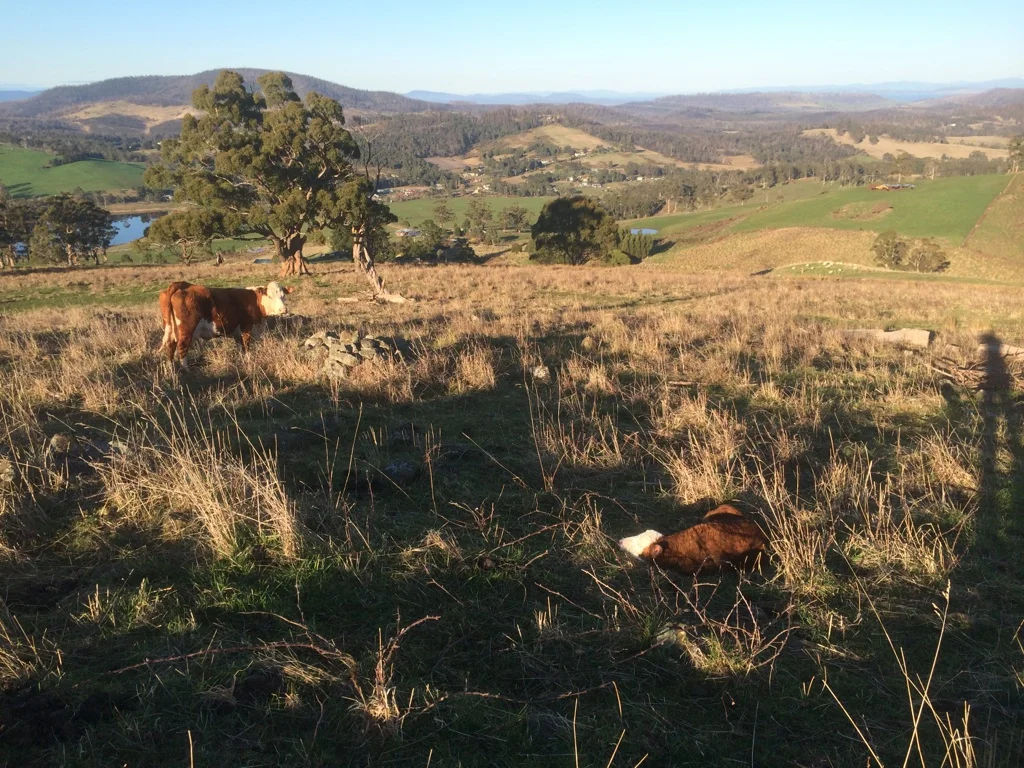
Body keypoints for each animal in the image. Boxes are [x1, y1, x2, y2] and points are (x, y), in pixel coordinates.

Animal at [158, 281, 294, 366]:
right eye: (270, 296)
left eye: (283, 296)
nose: (283, 310)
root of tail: (181, 285)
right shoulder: (247, 328)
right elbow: (247, 346)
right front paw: (249, 360)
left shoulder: (237, 333)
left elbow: (240, 347)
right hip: (186, 331)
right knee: (182, 348)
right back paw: (185, 370)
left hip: (171, 329)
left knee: (170, 346)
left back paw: (171, 369)